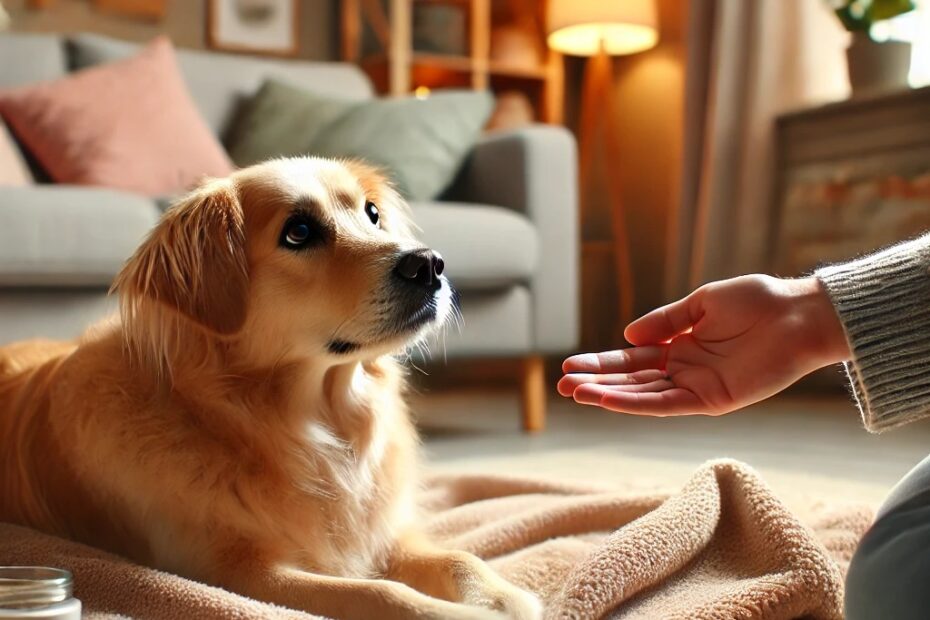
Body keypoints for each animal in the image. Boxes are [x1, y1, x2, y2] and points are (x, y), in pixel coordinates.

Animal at [0, 159, 540, 620]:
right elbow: (380, 593)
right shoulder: (242, 573)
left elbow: (459, 558)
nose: (429, 264)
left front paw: (505, 598)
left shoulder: (387, 535)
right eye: (298, 232)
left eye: (372, 214)